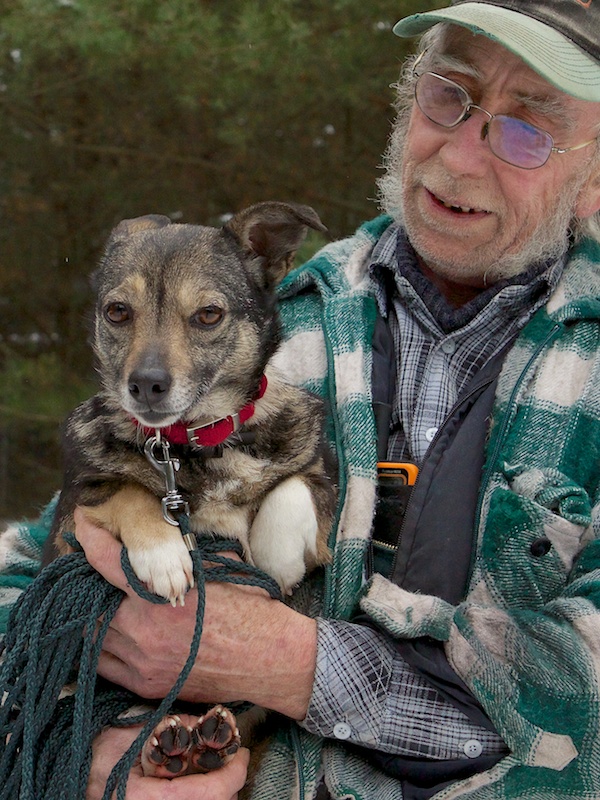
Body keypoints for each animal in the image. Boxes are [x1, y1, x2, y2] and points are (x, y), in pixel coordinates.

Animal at [43, 201, 337, 783]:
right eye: (117, 312)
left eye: (207, 315)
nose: (146, 385)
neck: (194, 444)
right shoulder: (71, 521)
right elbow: (128, 491)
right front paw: (164, 555)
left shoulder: (323, 483)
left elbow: (291, 488)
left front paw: (277, 560)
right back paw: (172, 744)